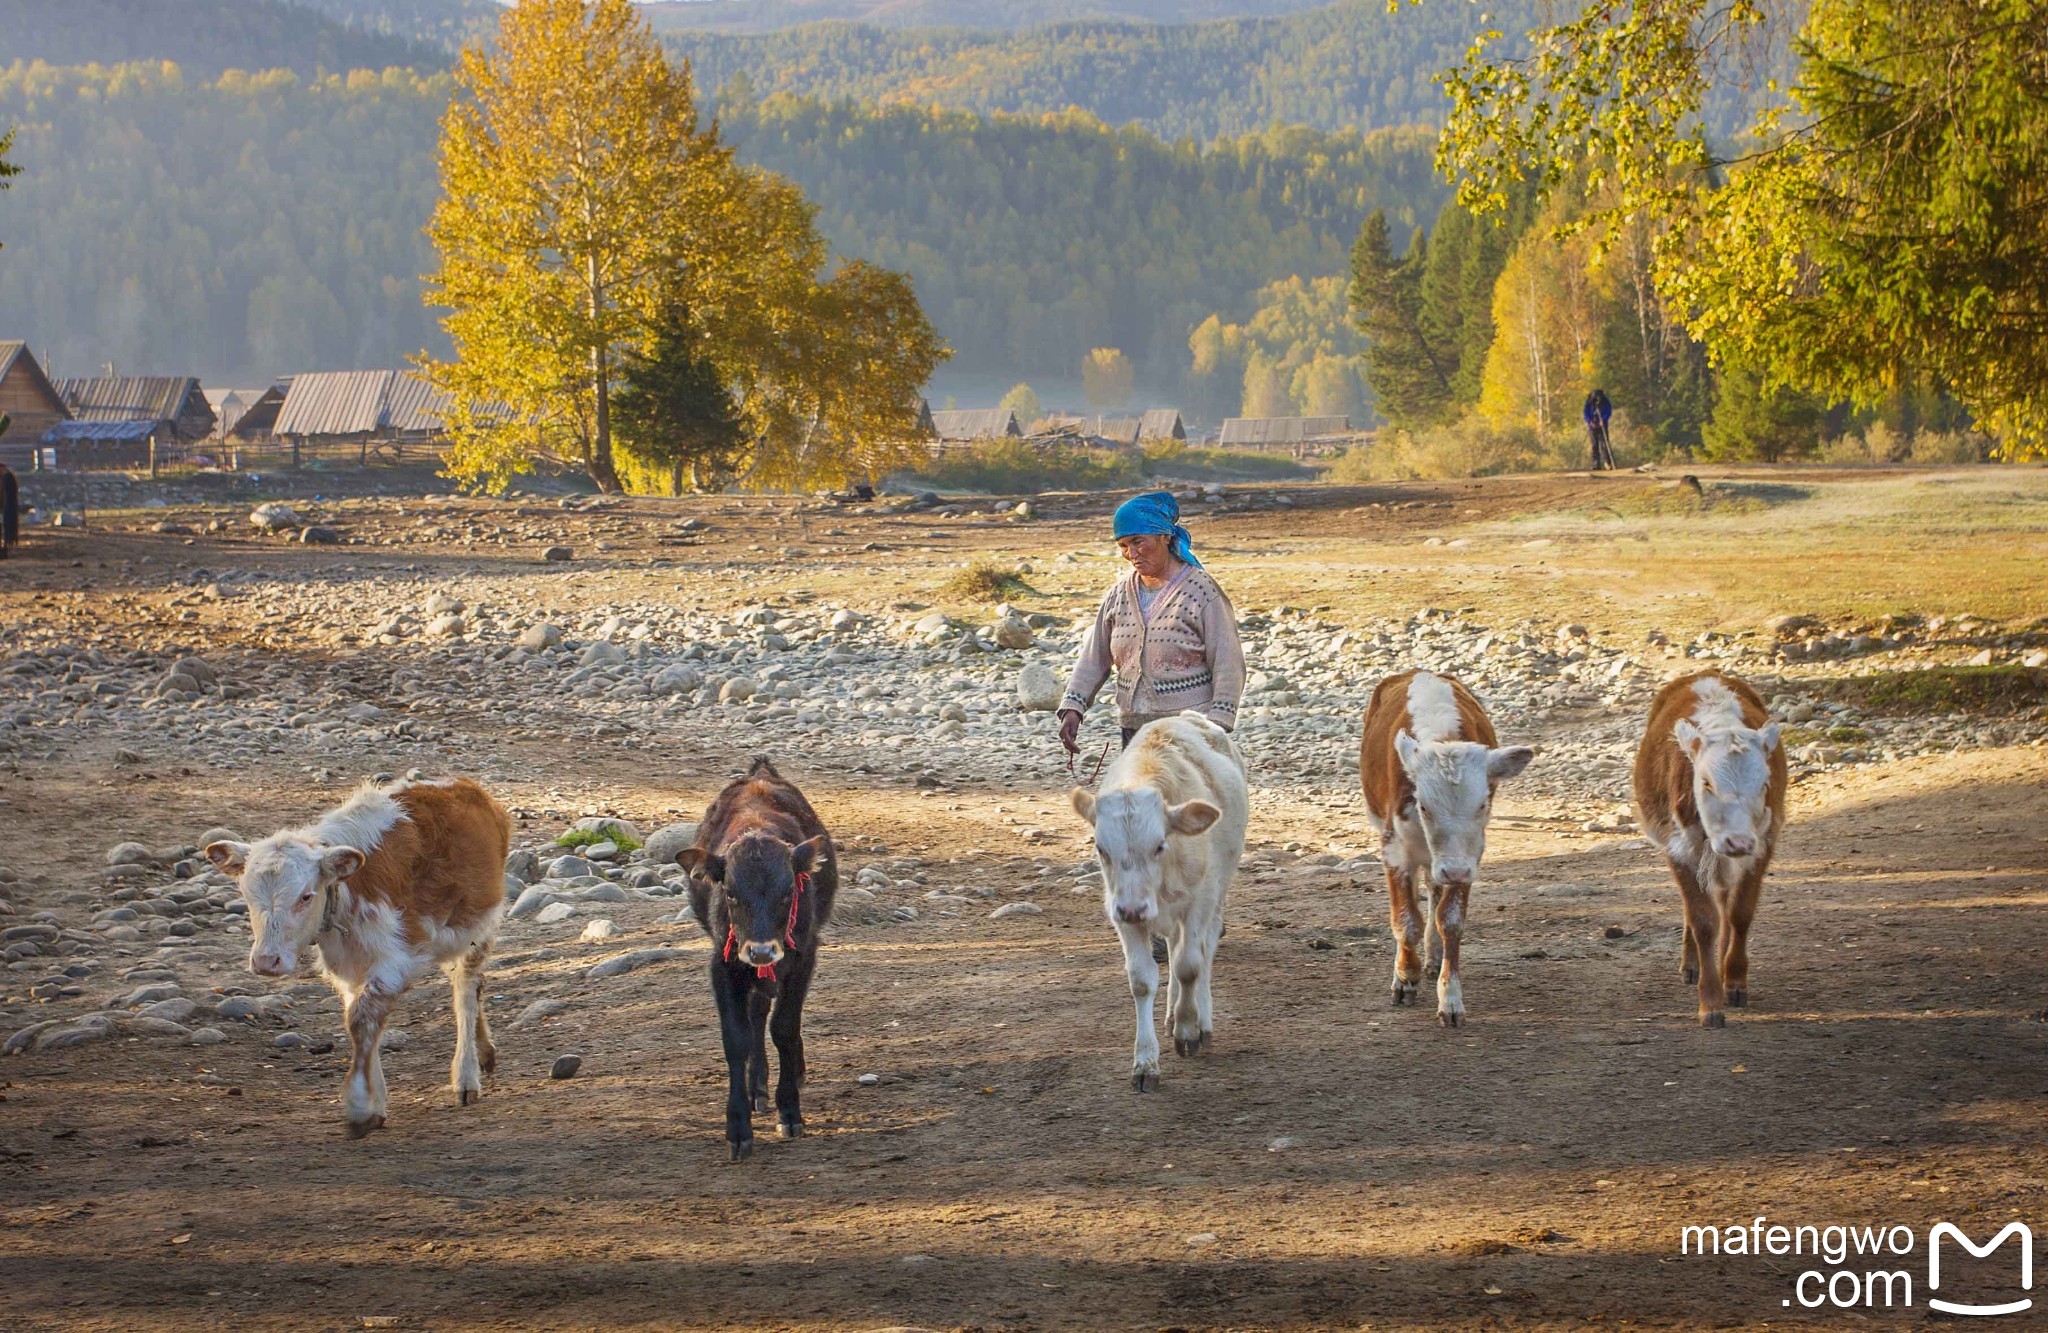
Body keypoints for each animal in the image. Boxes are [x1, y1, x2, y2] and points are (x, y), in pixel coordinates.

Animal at [205, 778, 509, 1138]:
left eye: (305, 896)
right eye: (248, 896)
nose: (267, 961)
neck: (347, 891)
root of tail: (464, 785)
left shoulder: (395, 961)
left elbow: (362, 1020)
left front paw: (360, 1105)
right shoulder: (348, 969)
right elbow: (360, 1021)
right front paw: (376, 1104)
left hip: (478, 928)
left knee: (466, 990)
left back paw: (465, 1076)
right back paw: (484, 1053)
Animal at [1073, 712, 1245, 1089]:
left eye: (1159, 845)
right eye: (1101, 849)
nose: (1134, 909)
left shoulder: (1199, 901)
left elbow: (1189, 965)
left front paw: (1188, 1031)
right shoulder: (1120, 913)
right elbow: (1142, 980)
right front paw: (1145, 1062)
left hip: (1218, 893)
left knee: (1204, 950)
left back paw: (1200, 1020)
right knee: (1173, 946)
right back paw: (1169, 1015)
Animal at [1359, 671, 1540, 1027]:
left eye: (1483, 804)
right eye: (1424, 806)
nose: (1453, 869)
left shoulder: (1470, 856)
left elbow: (1451, 920)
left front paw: (1451, 999)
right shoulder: (1394, 847)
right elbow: (1405, 920)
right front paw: (1405, 977)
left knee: (1433, 888)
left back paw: (1434, 955)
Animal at [1638, 679, 1785, 1032]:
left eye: (1764, 783)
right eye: (1706, 783)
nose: (1737, 842)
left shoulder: (1762, 843)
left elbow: (1740, 914)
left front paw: (1735, 982)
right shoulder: (1679, 848)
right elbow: (1703, 921)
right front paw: (1711, 1003)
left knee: (1725, 905)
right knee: (1697, 909)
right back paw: (1692, 965)